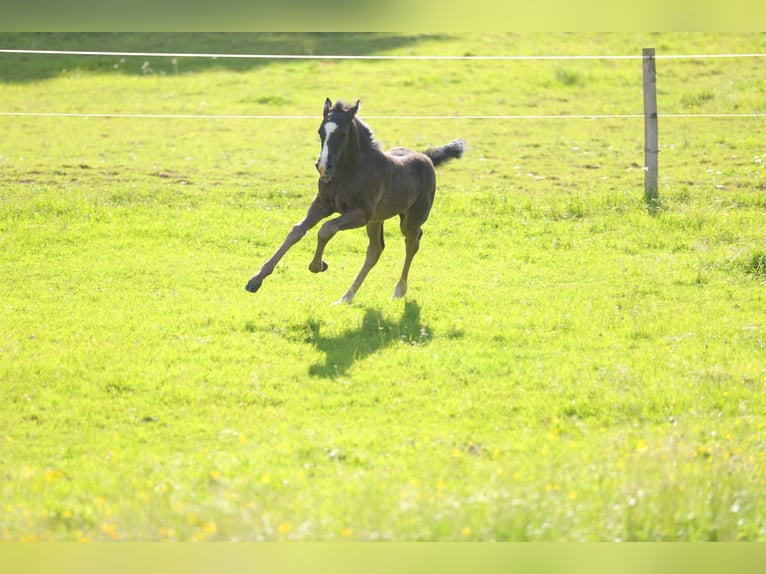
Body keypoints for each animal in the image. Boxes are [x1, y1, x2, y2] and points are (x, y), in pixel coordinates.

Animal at [245, 97, 465, 304]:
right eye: (320, 131)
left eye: (342, 133)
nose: (323, 167)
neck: (348, 171)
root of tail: (427, 158)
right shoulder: (322, 204)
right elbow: (297, 230)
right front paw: (255, 280)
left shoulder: (361, 214)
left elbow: (326, 229)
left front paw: (318, 265)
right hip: (377, 220)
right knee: (375, 249)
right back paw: (346, 297)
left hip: (410, 217)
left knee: (412, 241)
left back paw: (398, 291)